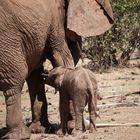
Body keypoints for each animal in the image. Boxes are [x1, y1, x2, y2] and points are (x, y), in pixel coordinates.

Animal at [0, 0, 113, 139]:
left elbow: (35, 74)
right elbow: (62, 58)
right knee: (15, 80)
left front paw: (40, 130)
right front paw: (70, 128)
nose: (45, 73)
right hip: (7, 37)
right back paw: (20, 135)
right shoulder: (56, 21)